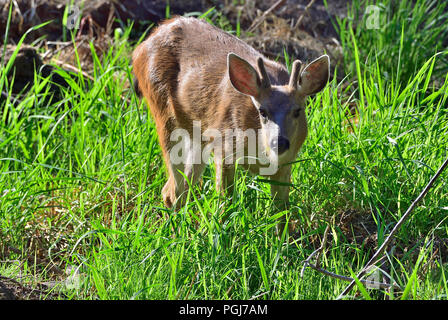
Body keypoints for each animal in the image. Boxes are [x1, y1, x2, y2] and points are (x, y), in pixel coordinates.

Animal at [132, 16, 328, 232]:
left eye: (298, 111)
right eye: (262, 111)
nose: (280, 143)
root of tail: (140, 47)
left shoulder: (286, 164)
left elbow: (281, 212)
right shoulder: (224, 146)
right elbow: (225, 202)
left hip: (198, 135)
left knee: (177, 189)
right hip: (162, 110)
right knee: (172, 190)